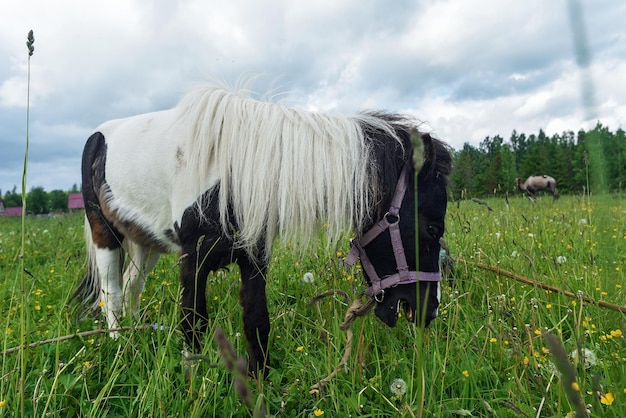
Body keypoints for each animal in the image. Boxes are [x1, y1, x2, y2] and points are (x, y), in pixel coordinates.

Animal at [73, 83, 450, 374]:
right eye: (433, 229)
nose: (429, 310)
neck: (234, 172)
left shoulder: (254, 258)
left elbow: (257, 321)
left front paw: (260, 383)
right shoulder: (193, 260)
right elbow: (194, 323)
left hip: (146, 241)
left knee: (132, 286)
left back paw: (137, 333)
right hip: (105, 233)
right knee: (111, 290)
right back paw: (120, 345)